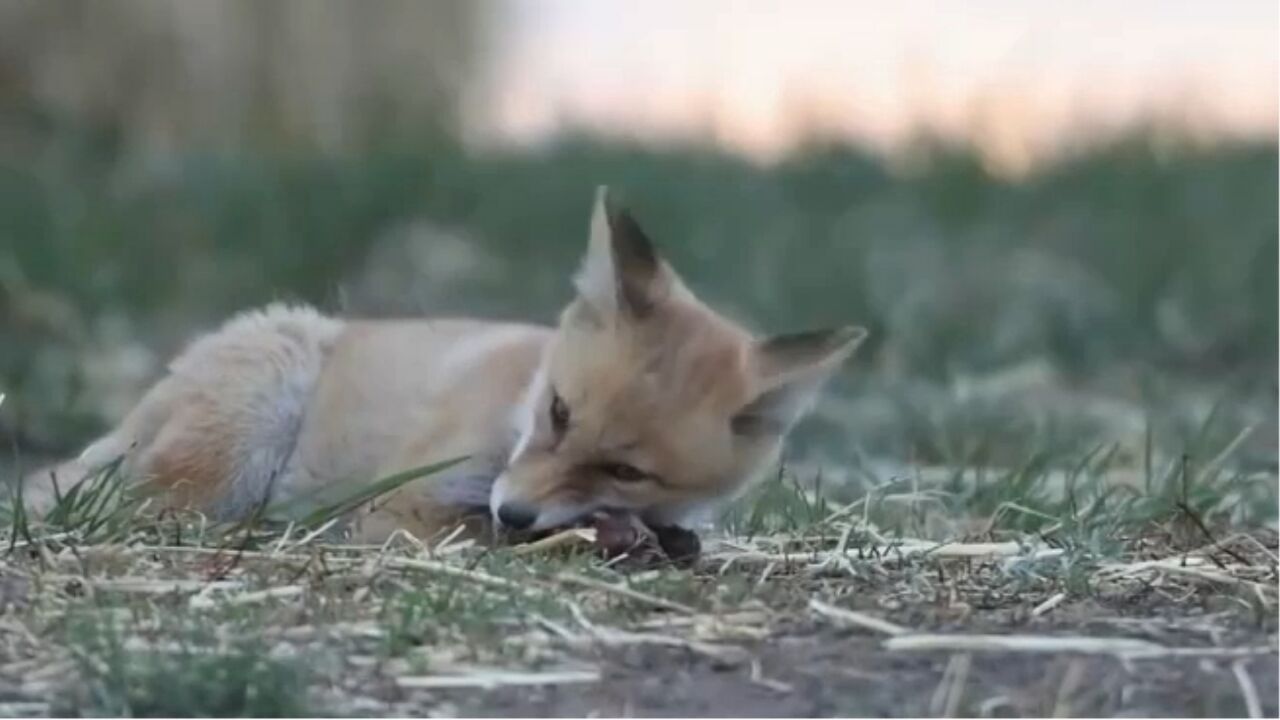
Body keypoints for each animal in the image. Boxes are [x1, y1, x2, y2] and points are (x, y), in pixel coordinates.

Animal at [24, 185, 870, 543]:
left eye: (628, 470)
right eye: (559, 412)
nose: (517, 510)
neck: (514, 404)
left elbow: (672, 533)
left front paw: (641, 536)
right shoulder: (403, 506)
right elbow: (478, 535)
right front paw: (588, 539)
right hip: (235, 442)